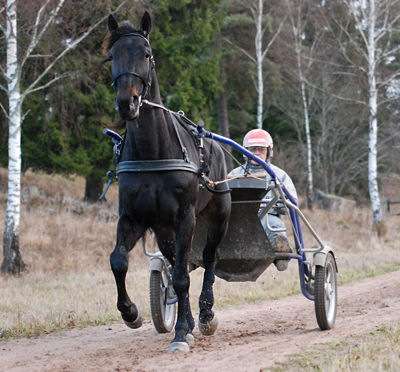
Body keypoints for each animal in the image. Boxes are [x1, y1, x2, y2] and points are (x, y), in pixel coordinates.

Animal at [103, 11, 231, 354]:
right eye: (112, 56)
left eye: (146, 54)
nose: (127, 102)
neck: (153, 152)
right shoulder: (133, 217)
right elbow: (119, 260)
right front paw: (131, 312)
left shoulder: (185, 217)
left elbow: (183, 278)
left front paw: (183, 332)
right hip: (164, 232)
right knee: (176, 265)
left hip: (217, 215)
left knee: (208, 259)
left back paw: (204, 315)